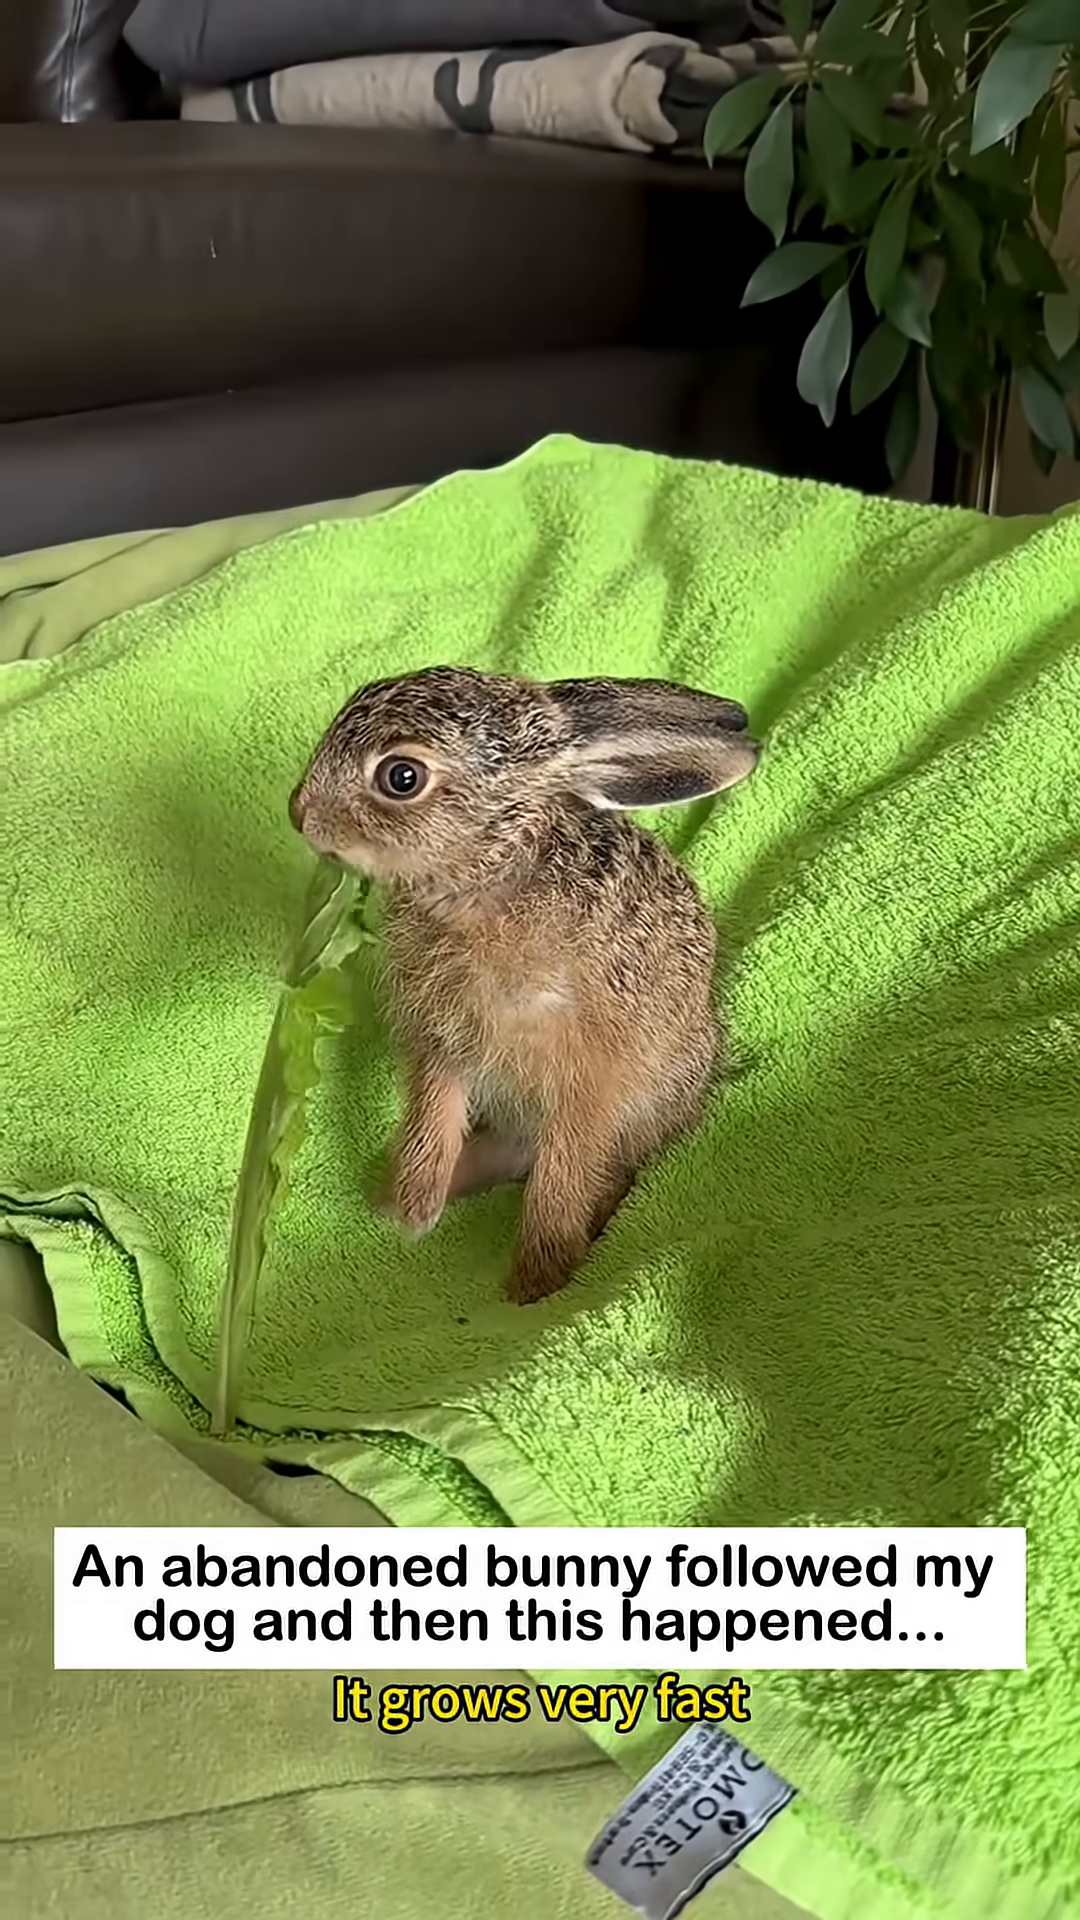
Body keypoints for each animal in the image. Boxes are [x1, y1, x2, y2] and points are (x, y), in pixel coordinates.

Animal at [289, 666, 759, 1305]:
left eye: (401, 777)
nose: (299, 813)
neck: (491, 878)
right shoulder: (445, 1039)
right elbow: (432, 1117)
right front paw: (413, 1210)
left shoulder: (589, 1072)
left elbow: (562, 1171)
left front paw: (538, 1281)